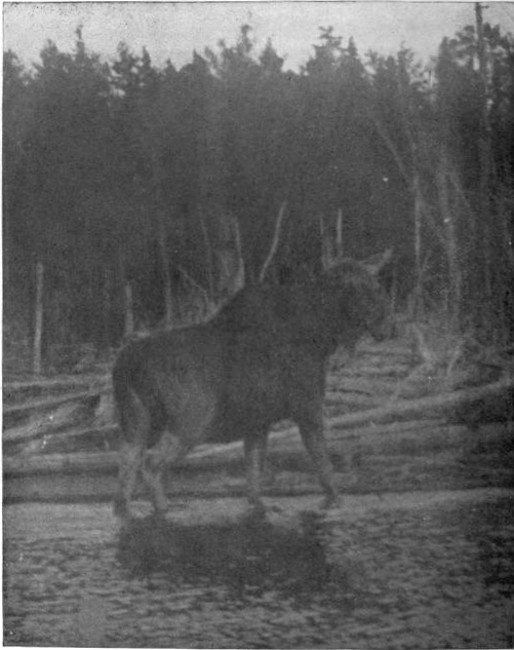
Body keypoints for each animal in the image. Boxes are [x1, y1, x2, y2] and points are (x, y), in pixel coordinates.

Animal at [112, 250, 393, 520]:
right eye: (359, 289)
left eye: (376, 285)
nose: (387, 325)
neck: (322, 337)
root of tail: (125, 367)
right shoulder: (308, 407)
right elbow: (325, 470)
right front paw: (336, 503)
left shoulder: (258, 422)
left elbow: (253, 481)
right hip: (191, 421)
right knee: (150, 465)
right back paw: (164, 510)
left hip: (135, 421)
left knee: (127, 466)